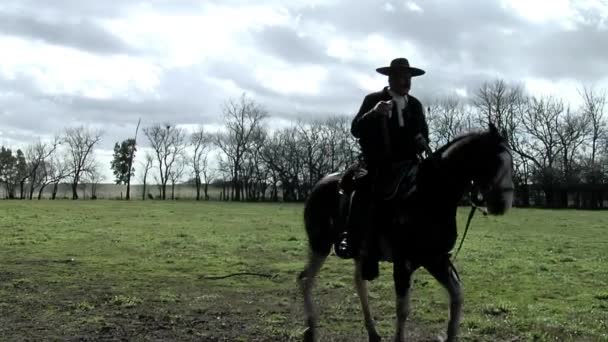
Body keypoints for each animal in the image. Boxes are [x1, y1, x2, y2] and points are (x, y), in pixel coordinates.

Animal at [298, 123, 512, 342]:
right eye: (495, 160)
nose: (503, 203)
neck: (427, 196)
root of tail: (320, 184)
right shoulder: (404, 264)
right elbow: (403, 309)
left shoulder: (436, 259)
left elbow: (457, 296)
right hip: (320, 244)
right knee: (305, 279)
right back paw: (310, 329)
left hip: (359, 254)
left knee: (358, 284)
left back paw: (372, 332)